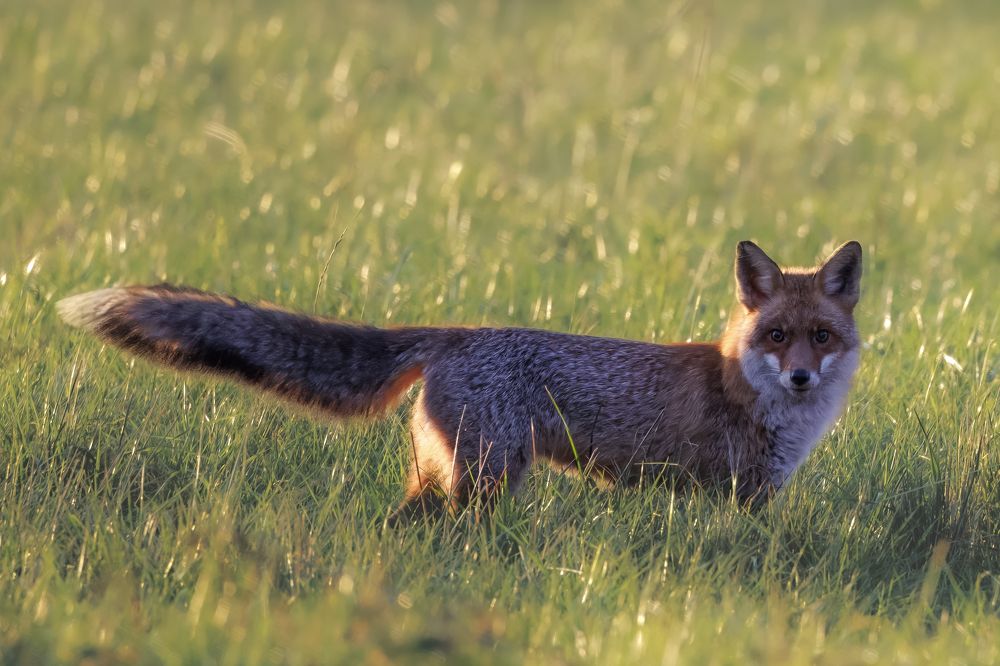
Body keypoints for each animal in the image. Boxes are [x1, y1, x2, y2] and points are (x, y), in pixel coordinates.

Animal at [57, 240, 862, 522]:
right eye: (776, 336)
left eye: (820, 337)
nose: (799, 375)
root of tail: (457, 330)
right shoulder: (742, 496)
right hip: (487, 479)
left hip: (445, 474)